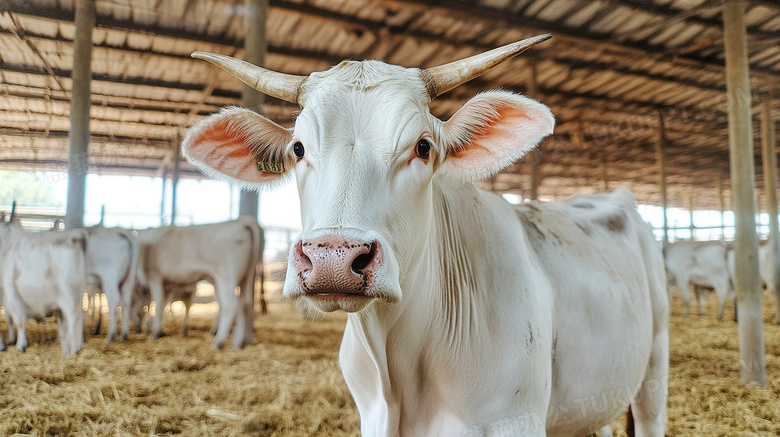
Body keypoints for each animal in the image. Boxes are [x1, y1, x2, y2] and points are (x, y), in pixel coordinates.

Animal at [0, 216, 88, 352]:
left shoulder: (12, 293)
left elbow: (19, 320)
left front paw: (20, 345)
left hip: (68, 296)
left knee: (74, 317)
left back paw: (73, 350)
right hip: (78, 293)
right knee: (79, 315)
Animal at [136, 218, 264, 348]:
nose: (137, 329)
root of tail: (241, 222)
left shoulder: (155, 277)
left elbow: (158, 305)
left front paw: (155, 334)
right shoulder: (167, 284)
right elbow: (162, 305)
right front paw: (159, 331)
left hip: (226, 277)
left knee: (231, 304)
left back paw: (219, 342)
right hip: (246, 278)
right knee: (246, 303)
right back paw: (239, 342)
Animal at [181, 35, 664, 436]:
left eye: (423, 146)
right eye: (298, 149)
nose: (333, 259)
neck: (399, 374)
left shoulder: (515, 421)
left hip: (653, 372)